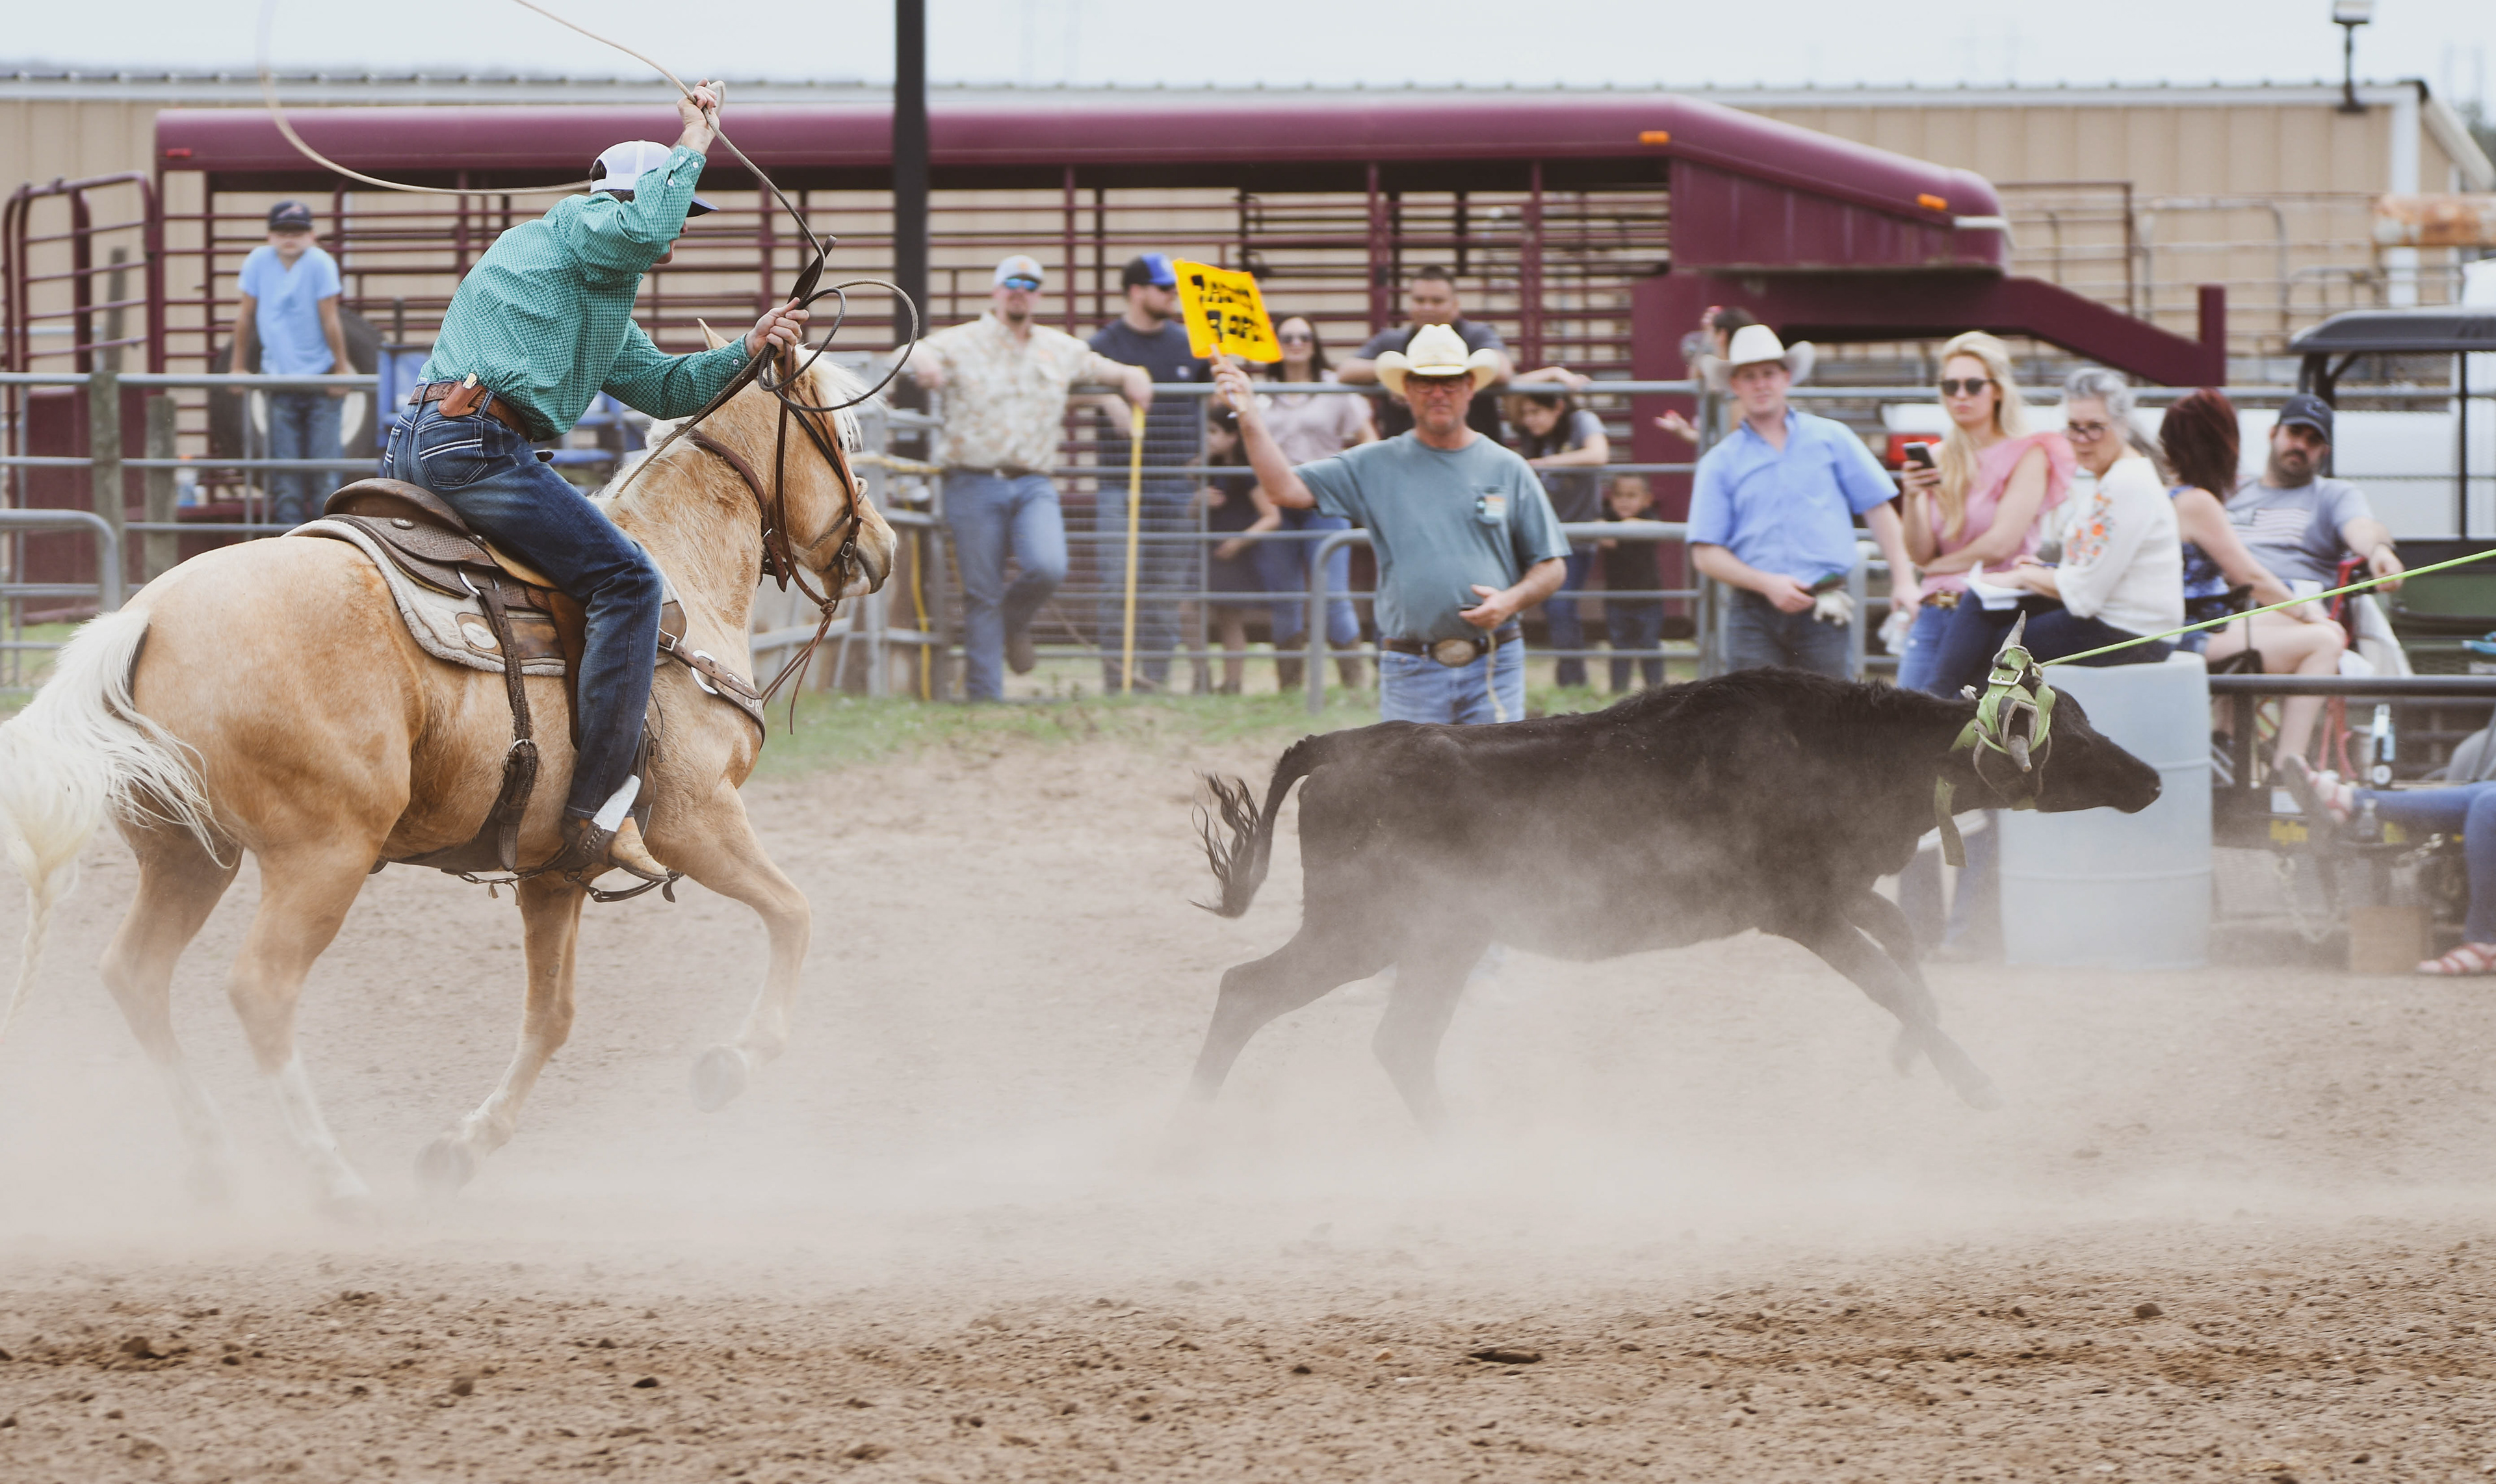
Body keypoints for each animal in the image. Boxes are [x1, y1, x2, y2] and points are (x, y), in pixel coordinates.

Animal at [0, 334, 895, 1212]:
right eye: (844, 436)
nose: (883, 548)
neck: (683, 588)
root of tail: (144, 619)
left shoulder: (555, 873)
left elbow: (552, 1017)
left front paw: (462, 1149)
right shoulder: (696, 820)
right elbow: (794, 914)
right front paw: (730, 1064)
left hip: (189, 853)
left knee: (137, 975)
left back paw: (216, 1163)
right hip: (321, 857)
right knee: (261, 989)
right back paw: (334, 1180)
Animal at [1188, 666, 2163, 1126]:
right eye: (2068, 735)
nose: (2152, 776)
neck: (1847, 747)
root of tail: (1343, 745)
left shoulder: (1840, 892)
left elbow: (1904, 948)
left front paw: (1910, 1054)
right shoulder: (1802, 911)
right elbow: (1892, 978)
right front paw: (1974, 1082)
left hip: (1439, 942)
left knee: (1397, 1043)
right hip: (1369, 931)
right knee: (1244, 990)